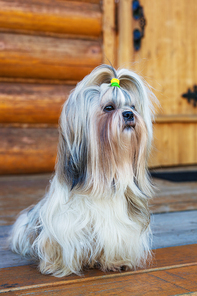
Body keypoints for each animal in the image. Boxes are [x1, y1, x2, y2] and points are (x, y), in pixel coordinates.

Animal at [10, 63, 155, 276]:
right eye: (109, 107)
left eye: (133, 107)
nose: (129, 114)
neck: (105, 175)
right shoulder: (64, 223)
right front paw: (56, 265)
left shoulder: (117, 227)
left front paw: (116, 261)